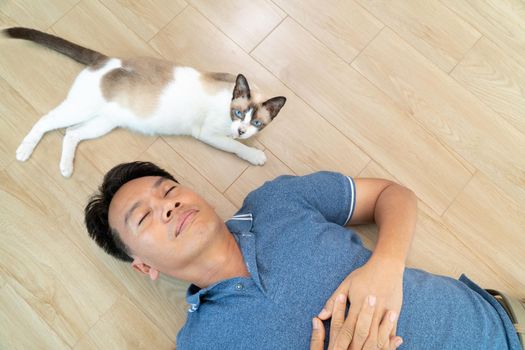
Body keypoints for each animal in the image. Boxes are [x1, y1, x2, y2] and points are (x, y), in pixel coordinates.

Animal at [3, 26, 286, 178]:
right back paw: (24, 151)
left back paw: (65, 168)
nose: (242, 130)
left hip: (104, 122)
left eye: (257, 122)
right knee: (46, 120)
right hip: (80, 109)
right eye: (238, 113)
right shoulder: (208, 134)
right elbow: (235, 147)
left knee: (71, 134)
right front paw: (255, 154)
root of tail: (106, 59)